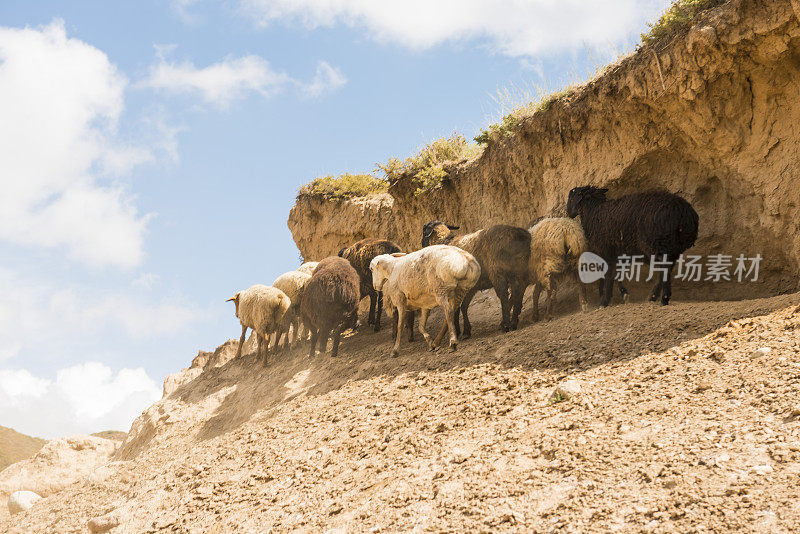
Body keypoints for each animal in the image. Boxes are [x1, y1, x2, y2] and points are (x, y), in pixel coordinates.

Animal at [564, 187, 696, 308]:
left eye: (571, 198)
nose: (568, 213)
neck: (594, 211)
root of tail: (682, 211)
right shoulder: (617, 253)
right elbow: (616, 274)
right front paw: (624, 294)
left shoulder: (607, 251)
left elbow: (609, 276)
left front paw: (604, 301)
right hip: (672, 247)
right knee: (666, 268)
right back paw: (653, 296)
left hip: (657, 244)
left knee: (665, 268)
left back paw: (664, 298)